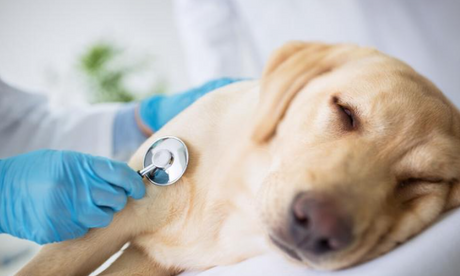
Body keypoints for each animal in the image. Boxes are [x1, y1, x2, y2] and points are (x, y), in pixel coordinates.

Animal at [18, 42, 460, 274]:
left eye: (421, 180)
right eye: (346, 112)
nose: (318, 226)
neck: (231, 205)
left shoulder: (147, 262)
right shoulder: (107, 224)